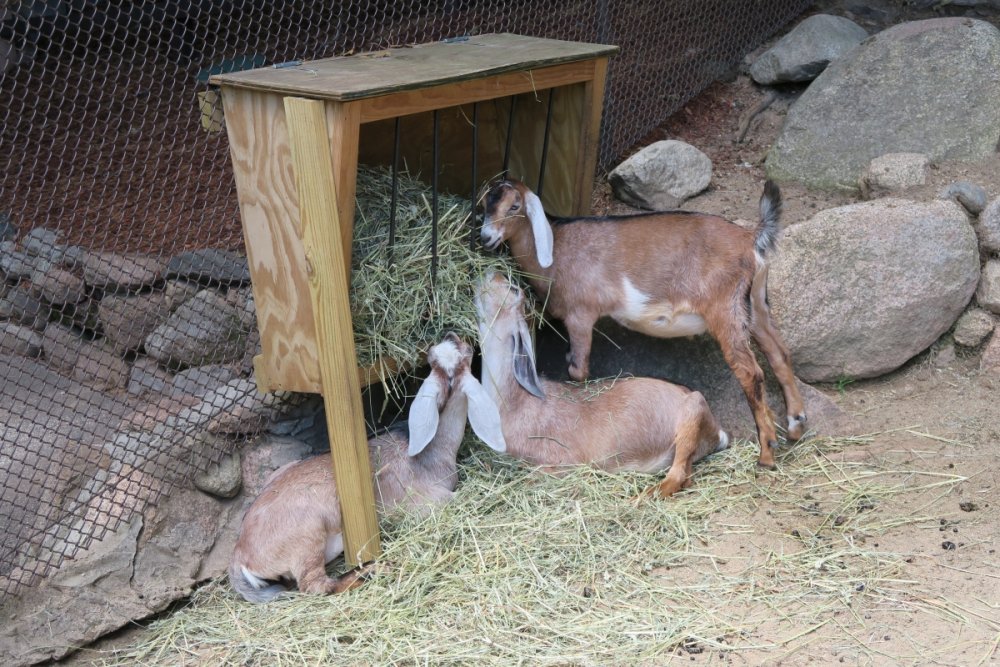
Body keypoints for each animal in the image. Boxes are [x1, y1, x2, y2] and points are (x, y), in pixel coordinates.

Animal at [229, 333, 505, 603]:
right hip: (309, 533)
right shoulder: (427, 503)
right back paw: (373, 571)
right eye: (458, 359)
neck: (429, 452)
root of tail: (240, 554)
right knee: (314, 585)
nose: (452, 334)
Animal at [475, 272, 728, 496]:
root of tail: (717, 432)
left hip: (691, 411)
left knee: (678, 476)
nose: (491, 274)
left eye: (513, 289)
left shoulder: (561, 462)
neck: (512, 401)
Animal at [480, 178, 806, 468]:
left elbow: (578, 370)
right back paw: (796, 424)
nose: (485, 237)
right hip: (756, 305)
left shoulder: (581, 314)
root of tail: (751, 239)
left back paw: (767, 453)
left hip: (724, 308)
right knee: (779, 354)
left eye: (515, 206)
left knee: (750, 372)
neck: (557, 248)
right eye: (485, 204)